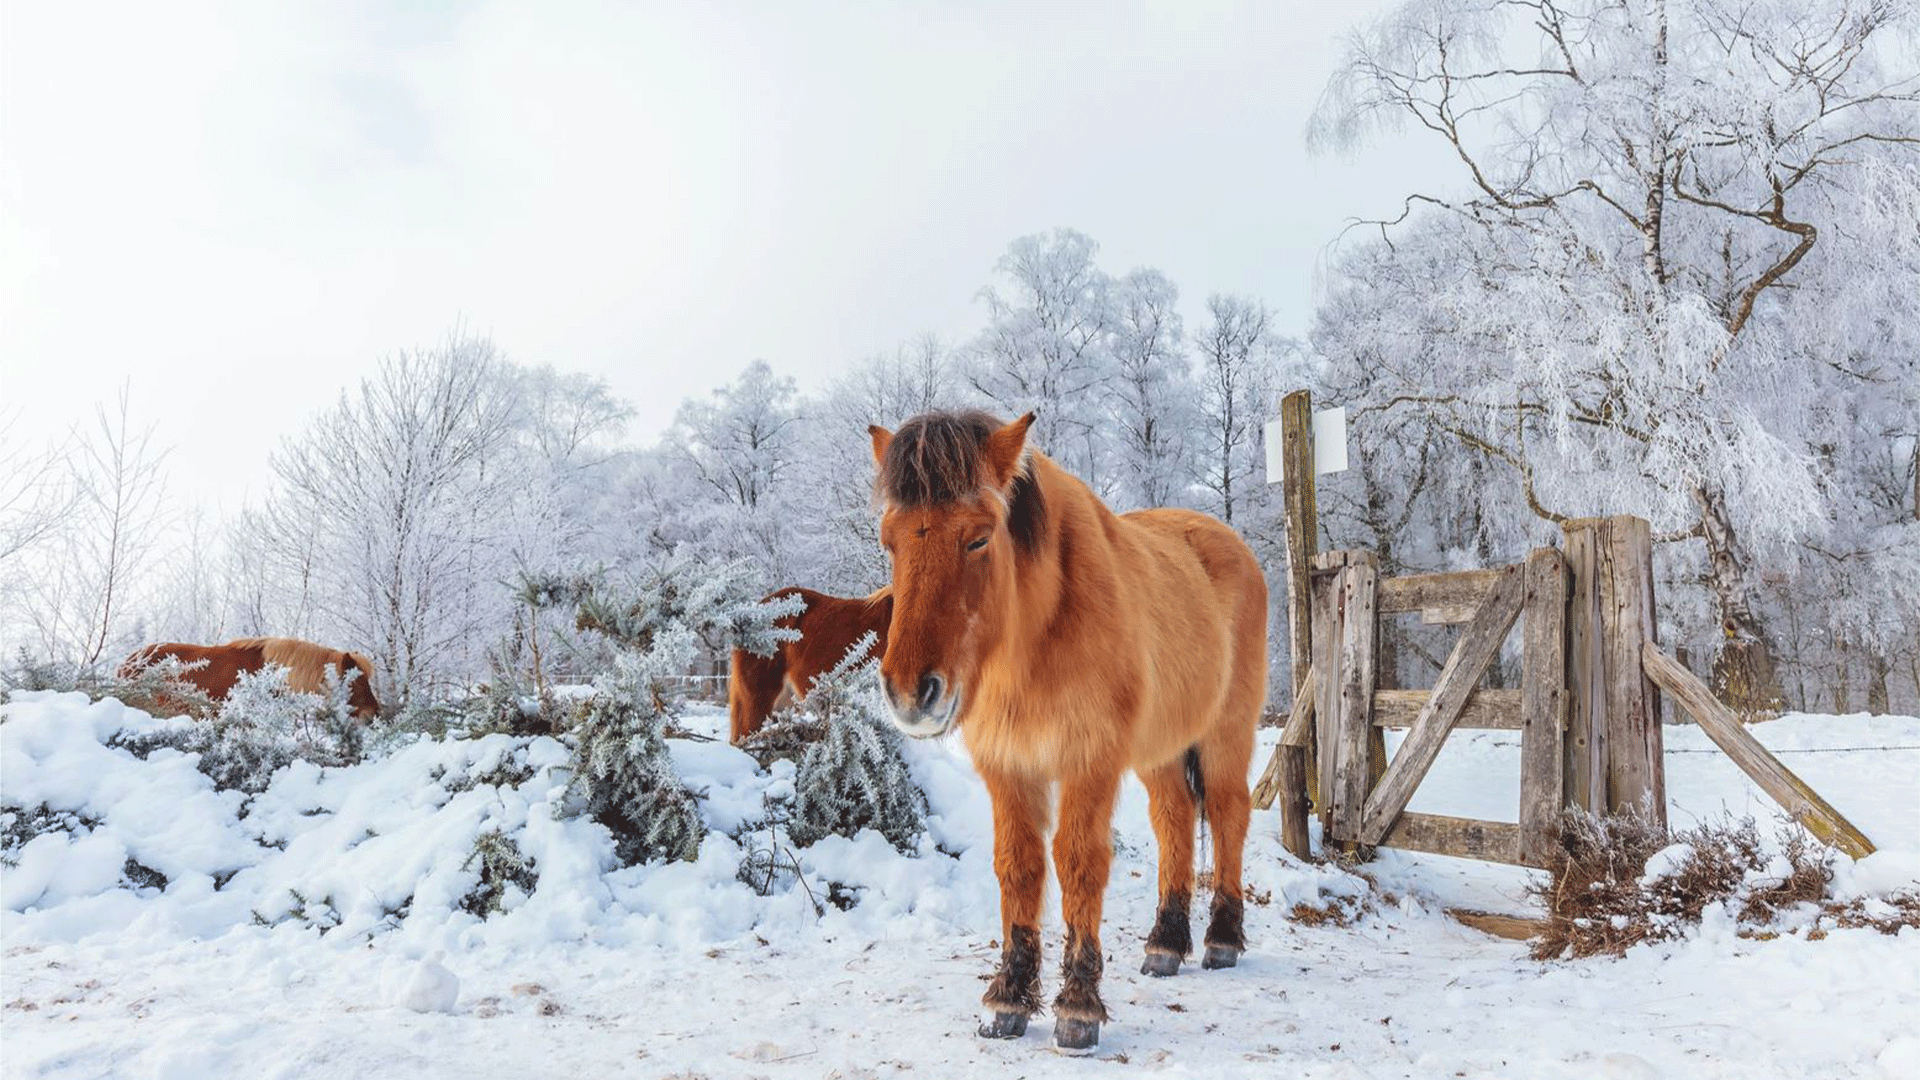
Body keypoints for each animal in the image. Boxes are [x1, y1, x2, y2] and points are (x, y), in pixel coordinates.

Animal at [867, 407, 1259, 1045]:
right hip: (1158, 751)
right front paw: (1009, 997)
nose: (909, 693)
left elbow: (1078, 863)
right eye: (889, 541)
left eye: (979, 537)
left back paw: (1221, 939)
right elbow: (1018, 866)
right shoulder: (1008, 765)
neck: (1037, 635)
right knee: (1174, 818)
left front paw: (1077, 1005)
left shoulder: (1089, 760)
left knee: (1227, 813)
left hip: (1227, 733)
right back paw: (1166, 943)